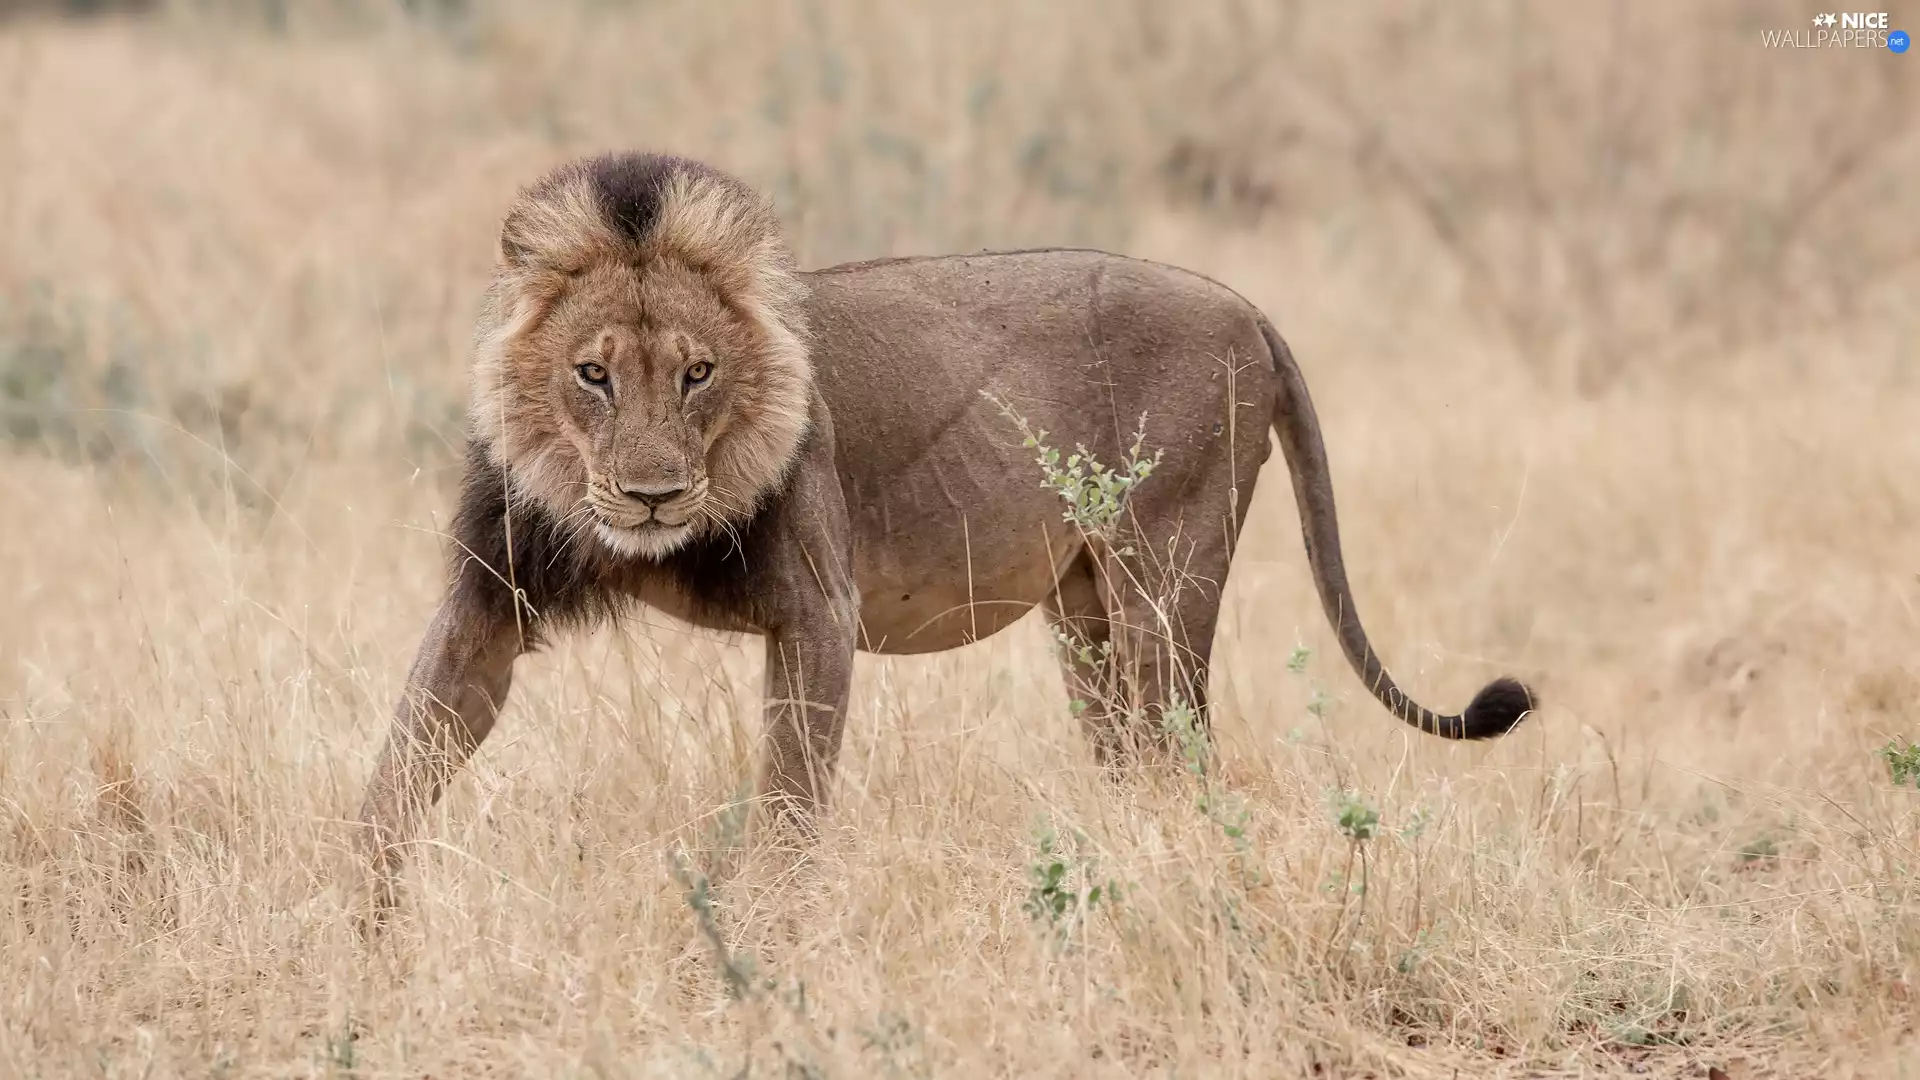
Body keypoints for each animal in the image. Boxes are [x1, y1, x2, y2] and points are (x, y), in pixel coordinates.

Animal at [351, 150, 1535, 897]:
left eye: (698, 373)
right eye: (592, 374)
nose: (652, 495)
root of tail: (1246, 306)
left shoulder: (818, 611)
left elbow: (789, 803)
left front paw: (765, 934)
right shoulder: (493, 596)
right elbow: (402, 760)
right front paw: (359, 926)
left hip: (1165, 576)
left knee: (1184, 755)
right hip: (1087, 615)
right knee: (1136, 754)